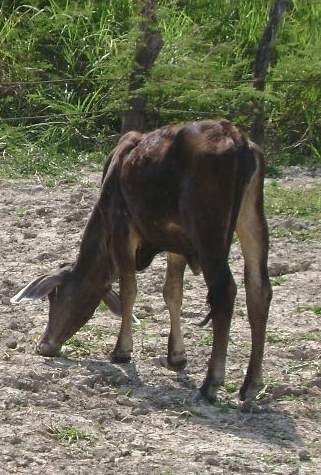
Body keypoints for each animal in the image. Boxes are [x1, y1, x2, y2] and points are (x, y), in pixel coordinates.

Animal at [10, 120, 270, 406]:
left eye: (54, 295)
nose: (45, 345)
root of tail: (237, 139)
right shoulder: (176, 241)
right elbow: (172, 293)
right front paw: (176, 357)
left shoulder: (122, 228)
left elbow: (128, 290)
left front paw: (122, 351)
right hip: (252, 218)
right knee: (259, 289)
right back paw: (252, 384)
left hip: (208, 231)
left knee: (225, 291)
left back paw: (211, 382)